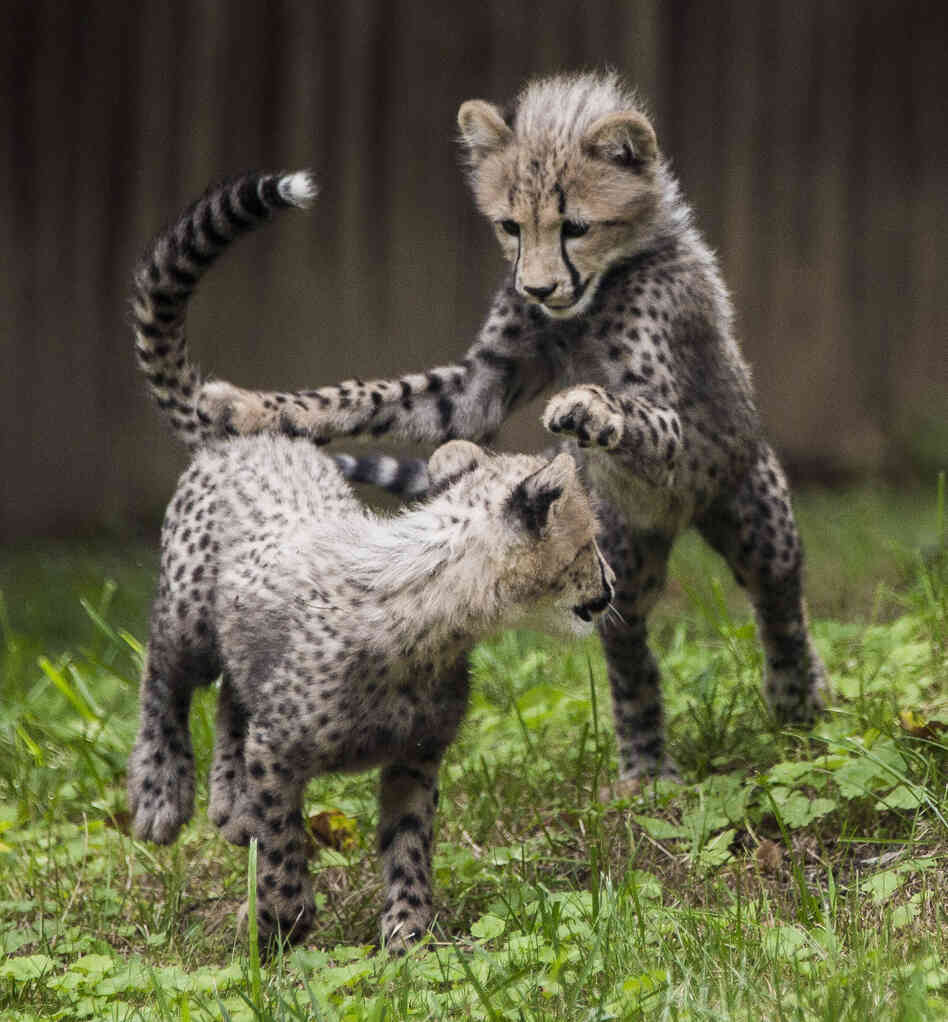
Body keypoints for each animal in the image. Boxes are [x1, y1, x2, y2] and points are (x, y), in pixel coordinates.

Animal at [127, 171, 615, 950]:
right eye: (590, 543)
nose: (611, 585)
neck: (433, 621)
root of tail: (251, 437)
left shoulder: (415, 760)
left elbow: (408, 846)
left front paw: (410, 937)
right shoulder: (281, 753)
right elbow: (284, 844)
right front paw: (282, 926)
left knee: (233, 696)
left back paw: (227, 804)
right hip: (188, 616)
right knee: (165, 675)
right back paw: (160, 793)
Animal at [185, 72, 828, 784]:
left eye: (576, 226)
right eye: (510, 226)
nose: (540, 289)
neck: (594, 295)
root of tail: (677, 519)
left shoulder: (673, 412)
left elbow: (641, 414)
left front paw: (592, 409)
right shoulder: (479, 388)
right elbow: (379, 394)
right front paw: (250, 407)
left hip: (753, 512)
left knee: (779, 603)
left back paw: (799, 701)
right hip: (619, 551)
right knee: (627, 641)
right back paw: (644, 765)